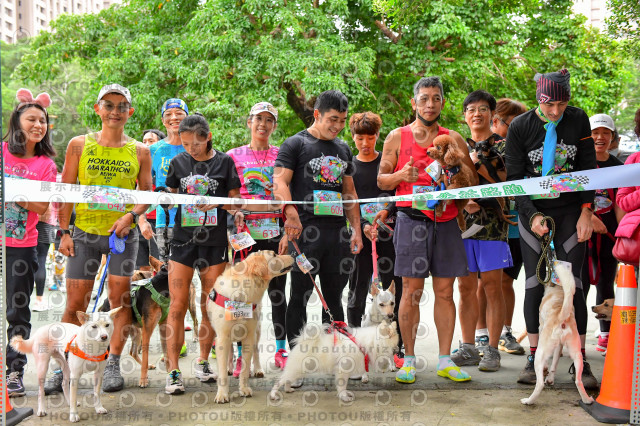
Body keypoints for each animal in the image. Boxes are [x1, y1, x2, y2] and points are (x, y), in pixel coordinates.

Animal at [206, 251, 294, 404]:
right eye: (274, 254)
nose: (293, 253)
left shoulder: (249, 336)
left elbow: (245, 368)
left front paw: (244, 389)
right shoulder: (222, 337)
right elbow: (222, 371)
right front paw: (222, 394)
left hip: (256, 330)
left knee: (256, 351)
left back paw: (258, 369)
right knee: (230, 352)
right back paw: (230, 368)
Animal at [270, 322, 400, 402]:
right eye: (395, 343)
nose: (398, 349)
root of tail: (303, 342)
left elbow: (344, 385)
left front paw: (346, 394)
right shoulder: (342, 370)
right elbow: (342, 386)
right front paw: (344, 397)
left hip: (300, 370)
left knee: (287, 380)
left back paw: (288, 389)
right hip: (296, 369)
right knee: (279, 381)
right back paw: (273, 395)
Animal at [520, 262, 596, 406]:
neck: (559, 291)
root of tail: (562, 316)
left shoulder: (541, 327)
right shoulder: (559, 346)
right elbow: (555, 362)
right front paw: (550, 378)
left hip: (540, 352)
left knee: (539, 384)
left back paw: (528, 401)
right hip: (577, 354)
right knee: (578, 380)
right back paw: (587, 399)